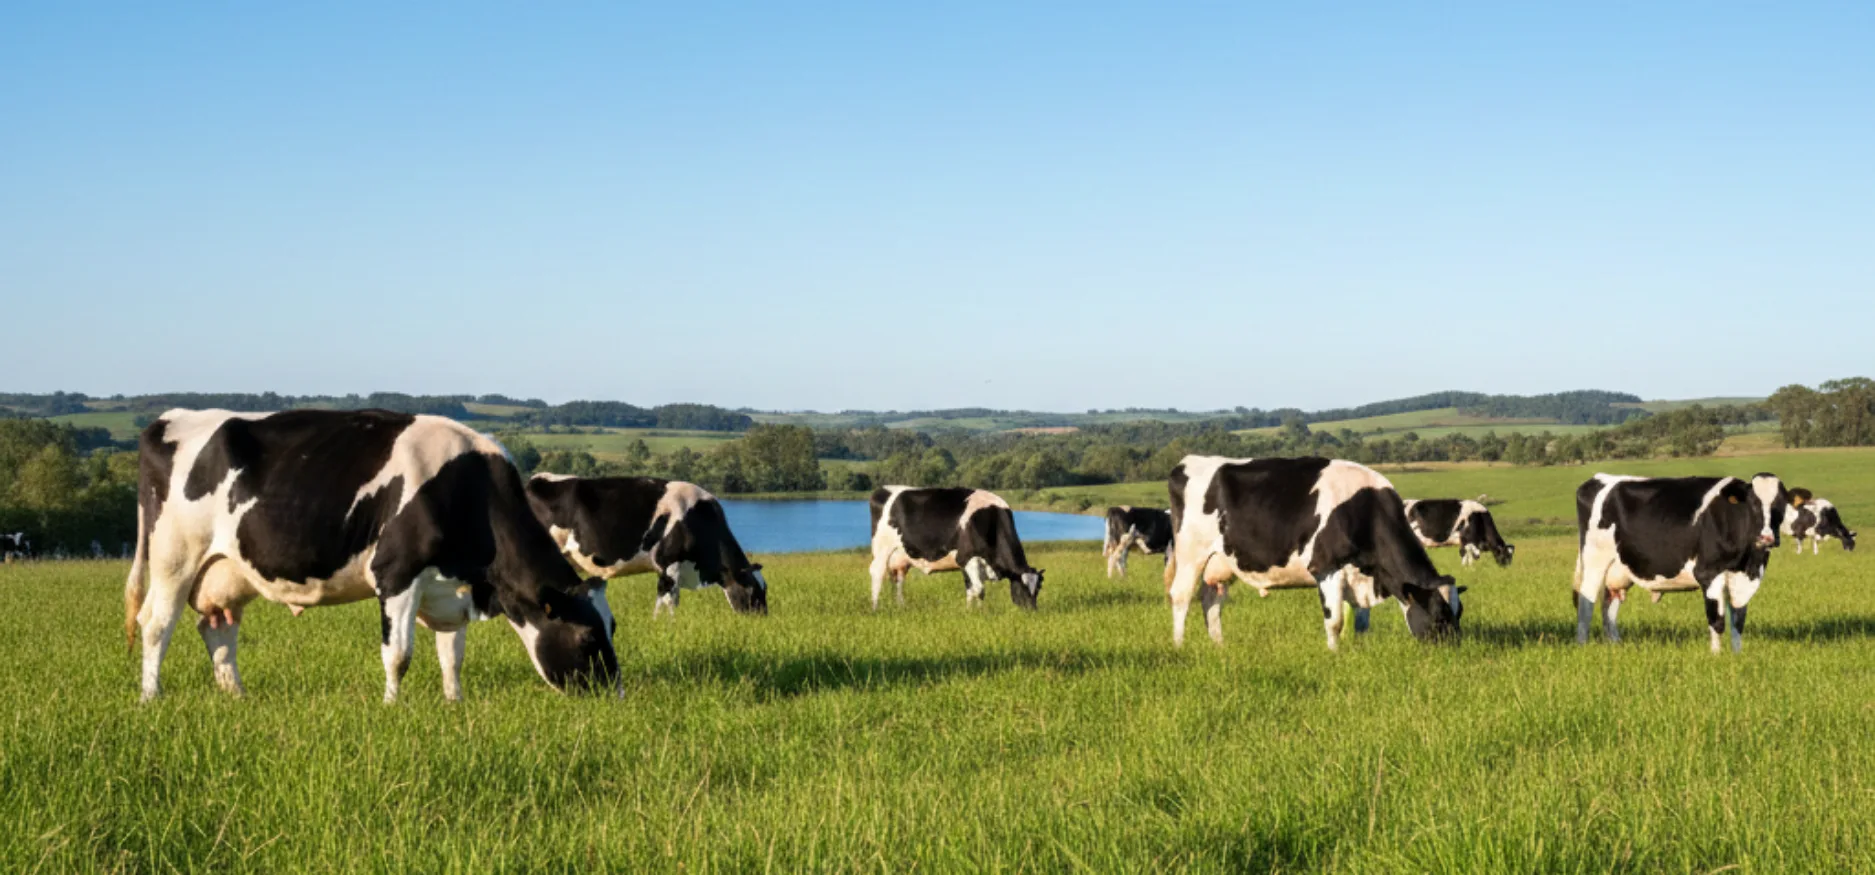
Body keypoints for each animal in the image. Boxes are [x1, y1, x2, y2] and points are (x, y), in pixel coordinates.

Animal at [123, 409, 619, 702]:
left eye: (613, 627)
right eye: (587, 638)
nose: (616, 695)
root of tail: (167, 419)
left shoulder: (449, 587)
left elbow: (451, 654)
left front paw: (454, 702)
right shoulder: (396, 573)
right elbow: (399, 654)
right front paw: (391, 706)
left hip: (227, 571)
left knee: (216, 628)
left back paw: (237, 697)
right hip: (174, 558)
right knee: (156, 625)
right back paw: (151, 697)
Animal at [524, 474, 768, 620]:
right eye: (753, 590)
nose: (762, 618)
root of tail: (536, 480)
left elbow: (671, 600)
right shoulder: (668, 564)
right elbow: (666, 601)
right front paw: (665, 625)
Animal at [868, 486, 1043, 610]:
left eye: (1038, 589)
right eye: (1022, 588)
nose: (1032, 611)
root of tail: (883, 490)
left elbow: (973, 589)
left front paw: (974, 611)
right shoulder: (967, 558)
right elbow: (979, 589)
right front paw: (977, 612)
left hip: (900, 557)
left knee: (898, 580)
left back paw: (901, 606)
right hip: (882, 549)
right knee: (877, 573)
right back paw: (875, 608)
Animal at [1164, 456, 1461, 650]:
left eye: (1459, 612)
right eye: (1440, 614)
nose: (1454, 649)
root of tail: (1187, 462)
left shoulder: (1359, 572)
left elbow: (1361, 621)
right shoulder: (1326, 566)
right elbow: (1335, 621)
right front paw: (1334, 654)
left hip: (1220, 561)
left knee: (1211, 599)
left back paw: (1219, 645)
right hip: (1191, 554)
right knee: (1181, 596)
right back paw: (1179, 646)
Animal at [1573, 472, 1788, 653]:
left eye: (1781, 505)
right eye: (1753, 503)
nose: (1767, 538)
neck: (1748, 562)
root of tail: (1599, 478)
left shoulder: (1744, 578)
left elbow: (1738, 620)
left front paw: (1737, 654)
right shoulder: (1708, 573)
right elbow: (1716, 620)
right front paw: (1716, 655)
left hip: (1619, 570)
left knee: (1609, 605)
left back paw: (1615, 644)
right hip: (1594, 559)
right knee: (1586, 602)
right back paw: (1582, 645)